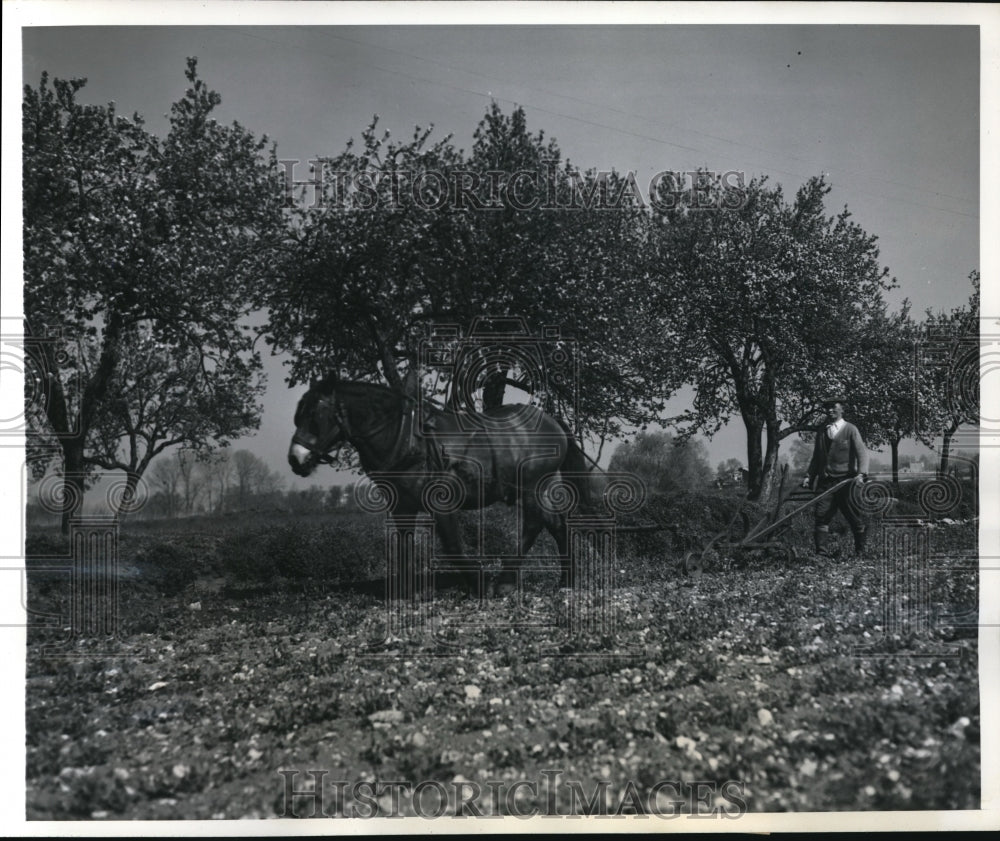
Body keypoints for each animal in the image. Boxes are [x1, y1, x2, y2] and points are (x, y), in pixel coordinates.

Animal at [287, 375, 592, 591]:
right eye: (298, 415)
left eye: (314, 416)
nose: (295, 459)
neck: (406, 439)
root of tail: (552, 421)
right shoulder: (402, 506)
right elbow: (404, 545)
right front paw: (408, 592)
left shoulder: (441, 503)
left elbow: (453, 545)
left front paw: (479, 585)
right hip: (537, 488)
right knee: (556, 525)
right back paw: (565, 581)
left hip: (531, 486)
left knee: (533, 525)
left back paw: (505, 582)